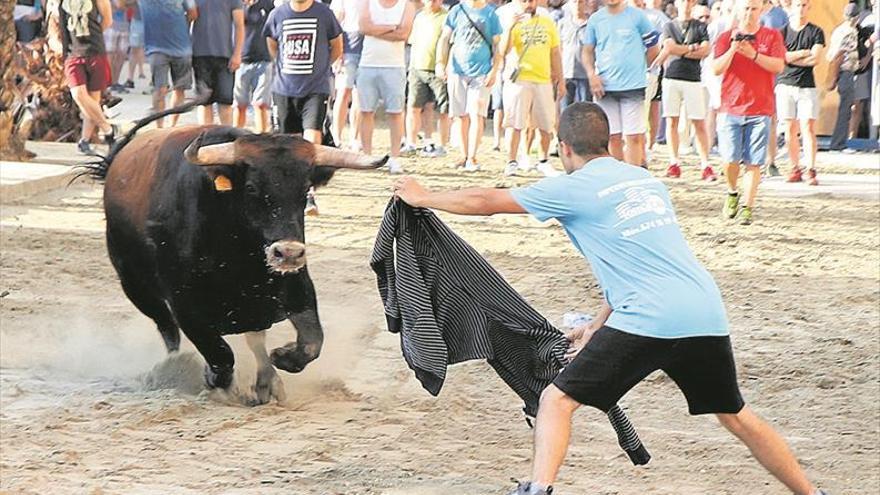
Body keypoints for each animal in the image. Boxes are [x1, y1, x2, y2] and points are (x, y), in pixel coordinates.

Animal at [87, 100, 386, 404]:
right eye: (252, 187)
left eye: (305, 190)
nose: (288, 253)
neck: (238, 255)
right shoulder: (186, 305)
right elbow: (221, 355)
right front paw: (215, 380)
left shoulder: (296, 288)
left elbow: (311, 343)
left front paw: (280, 359)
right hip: (136, 288)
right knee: (168, 330)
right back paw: (176, 367)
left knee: (254, 338)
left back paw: (268, 380)